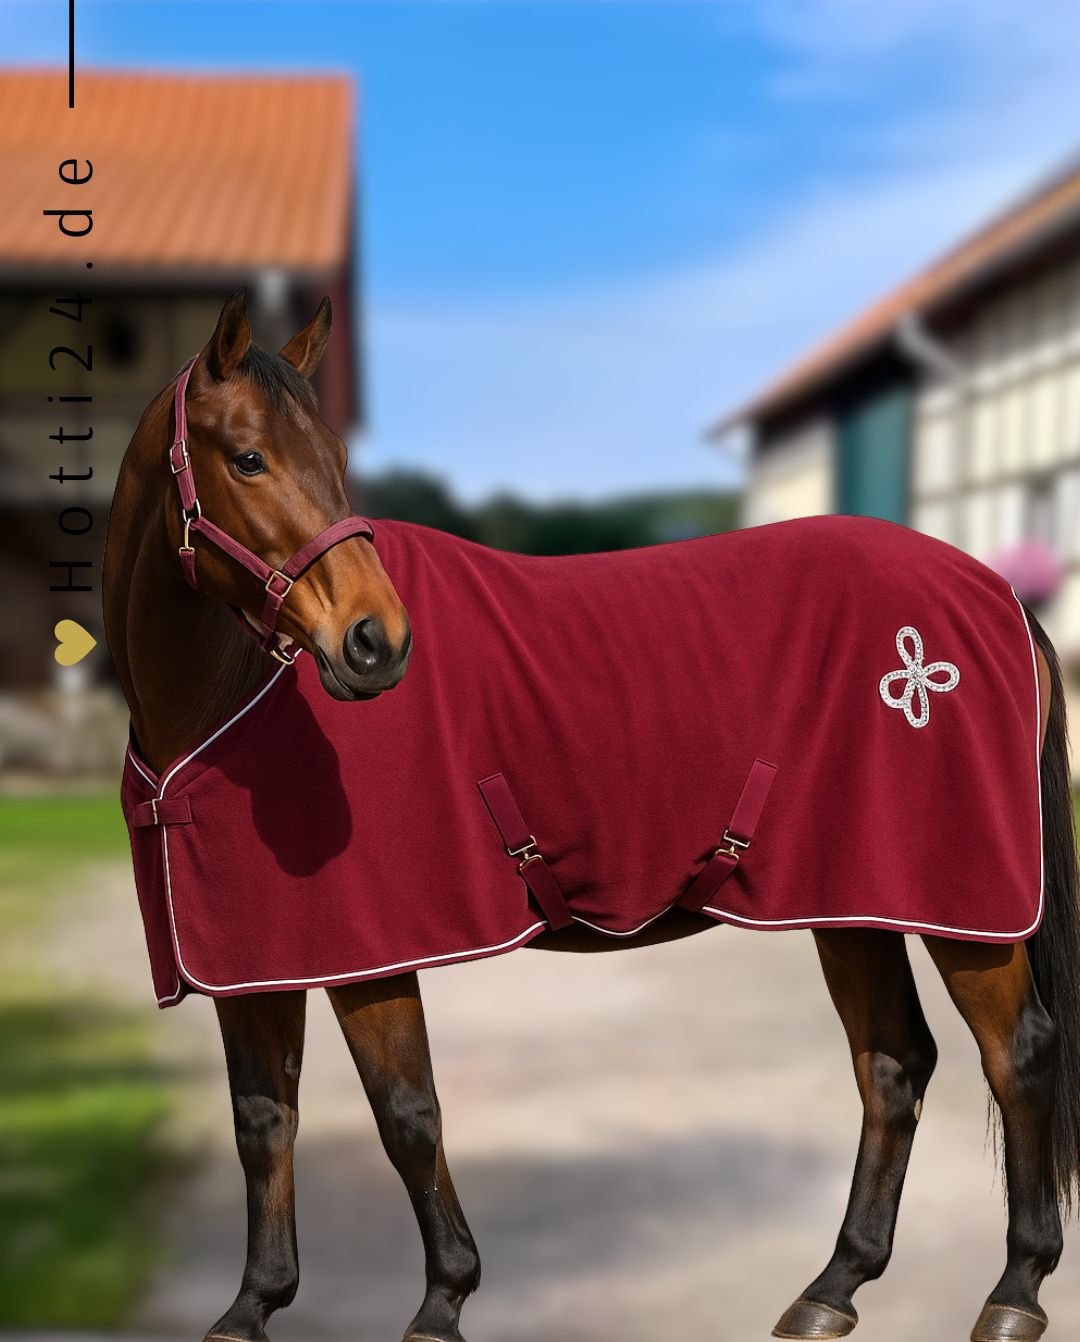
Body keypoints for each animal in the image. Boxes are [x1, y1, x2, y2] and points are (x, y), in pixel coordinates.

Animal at [104, 288, 1080, 1342]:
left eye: (337, 458)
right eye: (248, 457)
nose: (377, 644)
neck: (233, 696)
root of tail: (995, 590)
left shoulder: (371, 954)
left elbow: (407, 1112)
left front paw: (442, 1302)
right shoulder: (253, 960)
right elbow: (264, 1122)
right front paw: (254, 1304)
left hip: (964, 910)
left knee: (1019, 1054)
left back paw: (1015, 1290)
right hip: (852, 900)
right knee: (894, 1066)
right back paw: (833, 1288)